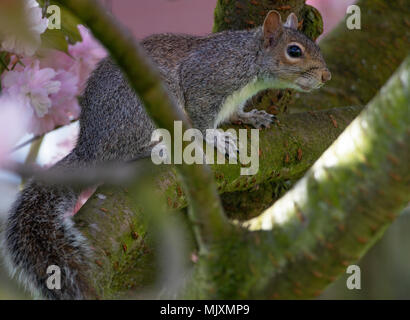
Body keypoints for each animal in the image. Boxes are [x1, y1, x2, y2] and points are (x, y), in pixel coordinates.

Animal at [1, 10, 330, 300]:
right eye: (294, 51)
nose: (326, 76)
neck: (249, 59)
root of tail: (89, 147)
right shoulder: (207, 81)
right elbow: (202, 116)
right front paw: (216, 137)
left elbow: (236, 111)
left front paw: (252, 117)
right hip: (141, 109)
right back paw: (160, 147)